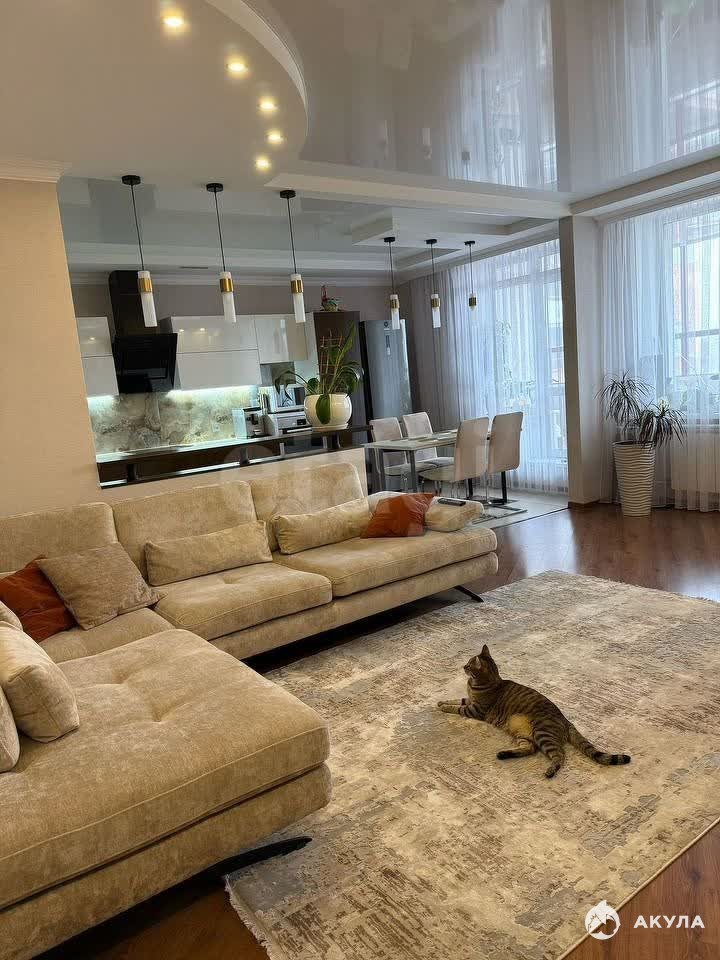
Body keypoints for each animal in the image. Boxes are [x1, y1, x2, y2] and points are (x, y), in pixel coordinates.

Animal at [437, 644, 631, 778]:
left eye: (469, 665)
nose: (463, 666)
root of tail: (566, 720)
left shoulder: (476, 709)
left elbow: (457, 707)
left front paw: (444, 707)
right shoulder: (470, 700)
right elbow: (456, 699)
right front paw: (440, 701)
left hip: (542, 733)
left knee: (560, 755)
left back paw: (551, 771)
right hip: (524, 733)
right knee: (530, 749)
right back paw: (503, 754)